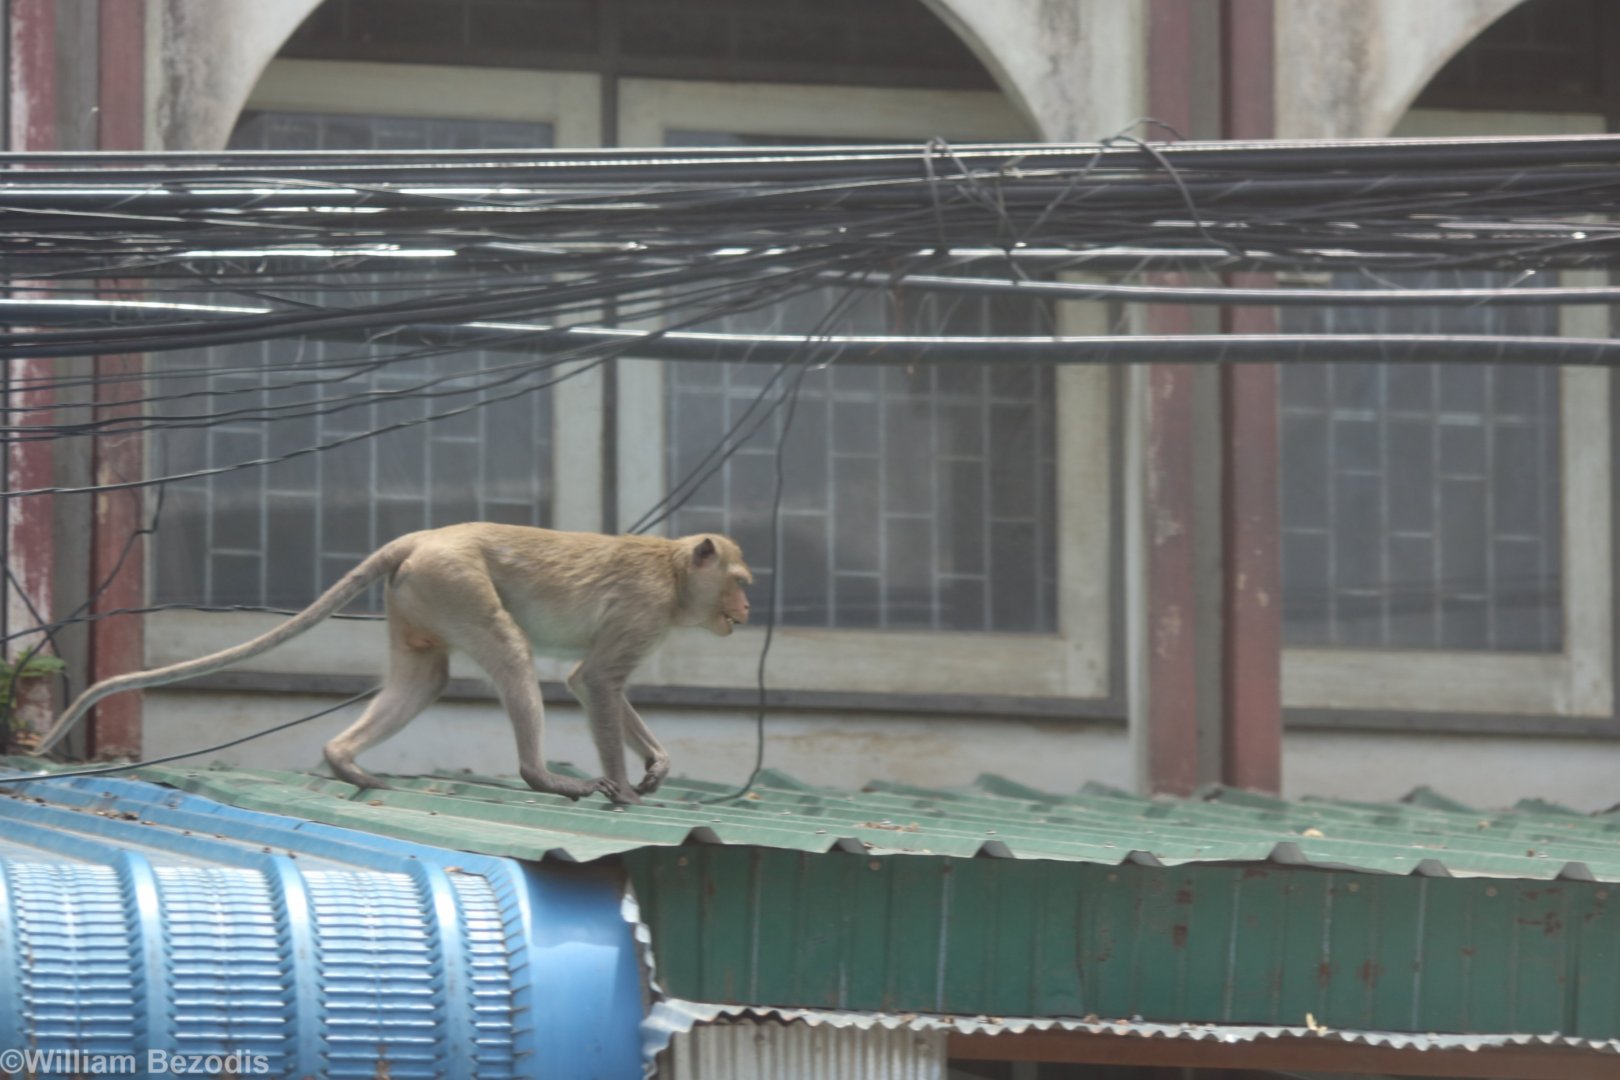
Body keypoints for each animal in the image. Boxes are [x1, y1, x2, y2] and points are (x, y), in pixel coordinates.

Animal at [32, 524, 752, 804]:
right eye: (741, 580)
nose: (745, 612)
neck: (672, 573)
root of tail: (428, 537)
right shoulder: (645, 610)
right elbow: (593, 680)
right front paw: (626, 789)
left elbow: (597, 683)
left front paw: (657, 766)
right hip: (456, 581)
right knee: (511, 654)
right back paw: (542, 777)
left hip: (420, 594)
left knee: (426, 676)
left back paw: (341, 757)